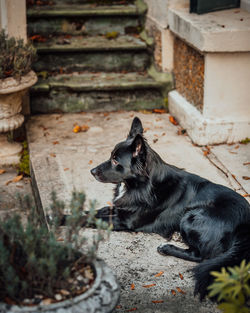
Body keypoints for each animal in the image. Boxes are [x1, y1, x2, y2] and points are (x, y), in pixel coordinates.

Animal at [91, 116, 250, 298]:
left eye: (115, 160)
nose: (91, 171)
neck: (141, 185)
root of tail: (245, 224)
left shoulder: (126, 221)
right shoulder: (120, 209)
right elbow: (94, 212)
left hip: (191, 217)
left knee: (201, 256)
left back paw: (167, 248)